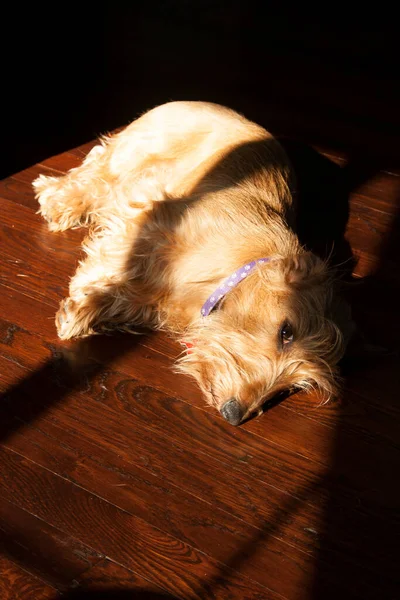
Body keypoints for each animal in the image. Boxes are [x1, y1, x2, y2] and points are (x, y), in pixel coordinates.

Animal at [34, 101, 354, 424]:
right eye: (286, 332)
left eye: (295, 386)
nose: (234, 414)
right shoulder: (154, 216)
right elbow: (119, 256)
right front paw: (85, 295)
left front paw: (88, 308)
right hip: (132, 155)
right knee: (97, 171)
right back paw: (59, 200)